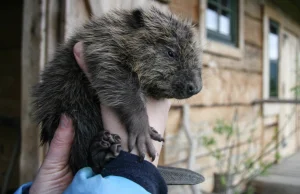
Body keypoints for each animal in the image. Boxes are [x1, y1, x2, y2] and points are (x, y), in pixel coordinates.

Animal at [31, 7, 203, 174]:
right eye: (171, 52)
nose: (195, 87)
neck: (119, 31)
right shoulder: (103, 48)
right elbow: (118, 82)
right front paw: (143, 132)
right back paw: (102, 148)